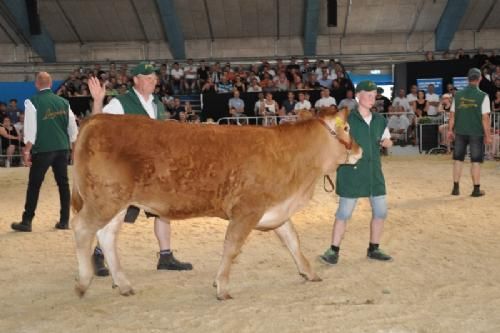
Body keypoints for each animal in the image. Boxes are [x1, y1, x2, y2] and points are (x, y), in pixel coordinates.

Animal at [72, 110, 362, 300]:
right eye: (347, 128)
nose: (359, 150)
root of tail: (100, 117)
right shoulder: (247, 210)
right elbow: (232, 247)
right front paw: (222, 286)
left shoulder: (275, 210)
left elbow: (292, 241)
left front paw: (309, 272)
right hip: (104, 199)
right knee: (82, 229)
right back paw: (83, 282)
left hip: (117, 203)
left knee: (106, 236)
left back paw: (123, 284)